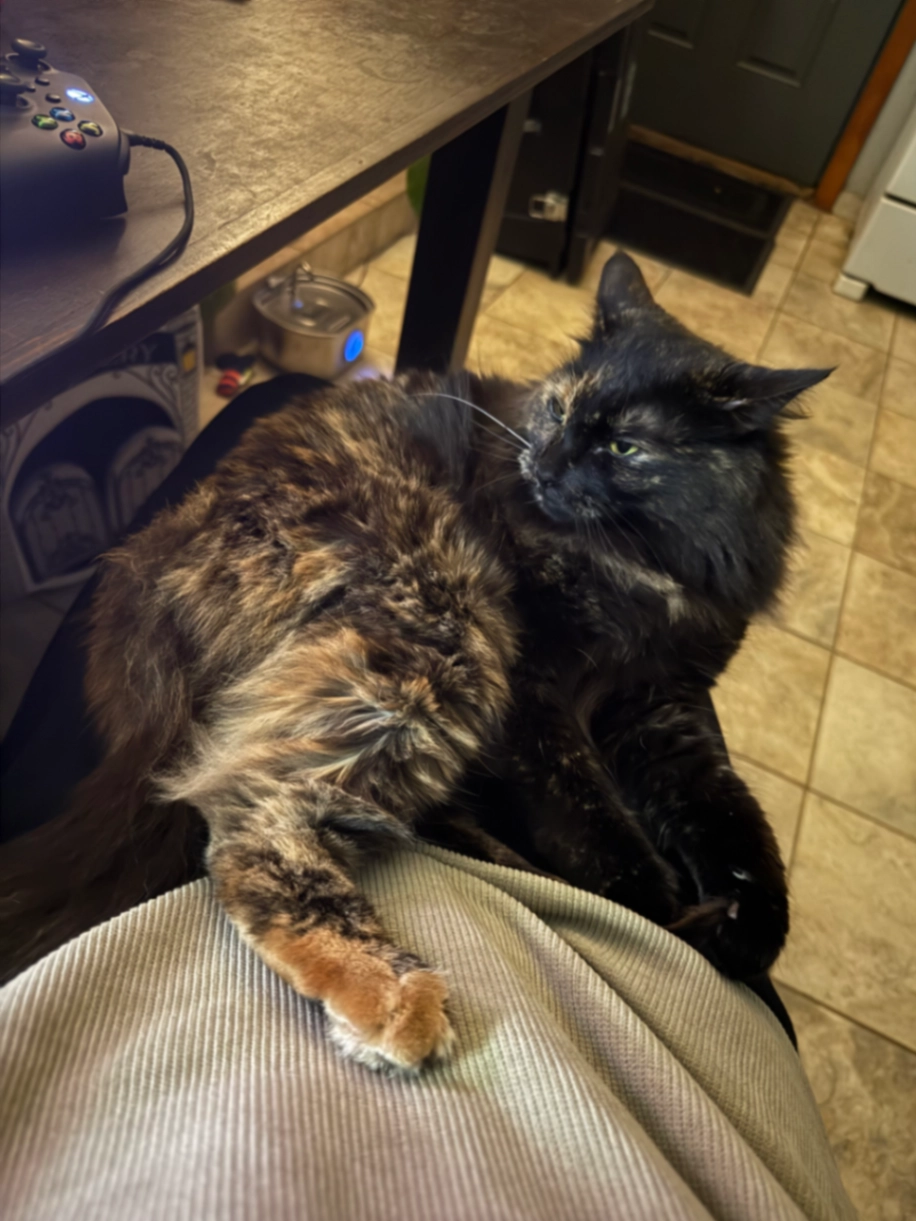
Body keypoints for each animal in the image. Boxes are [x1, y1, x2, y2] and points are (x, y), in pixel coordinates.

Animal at [0, 253, 829, 1072]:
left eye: (625, 447)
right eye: (560, 410)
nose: (543, 462)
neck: (642, 567)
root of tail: (145, 580)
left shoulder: (666, 705)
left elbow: (734, 822)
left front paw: (746, 927)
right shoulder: (537, 696)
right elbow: (597, 822)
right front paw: (663, 915)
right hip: (440, 632)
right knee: (254, 822)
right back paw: (395, 1001)